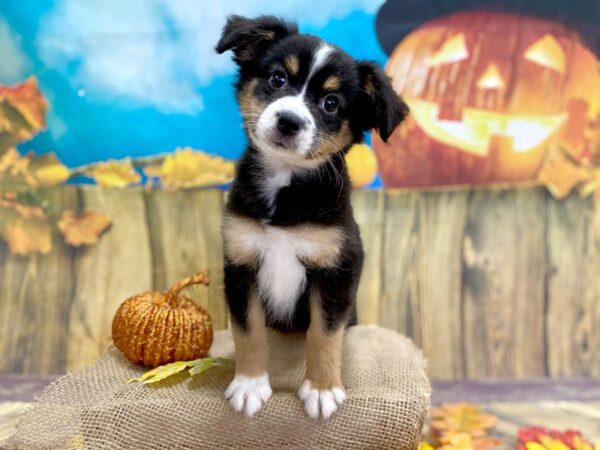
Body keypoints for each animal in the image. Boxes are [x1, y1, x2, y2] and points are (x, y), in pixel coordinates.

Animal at [216, 15, 408, 420]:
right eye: (277, 79)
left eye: (331, 103)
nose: (288, 121)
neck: (285, 185)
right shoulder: (240, 263)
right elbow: (249, 331)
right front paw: (249, 385)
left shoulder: (336, 269)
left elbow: (324, 334)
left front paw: (321, 390)